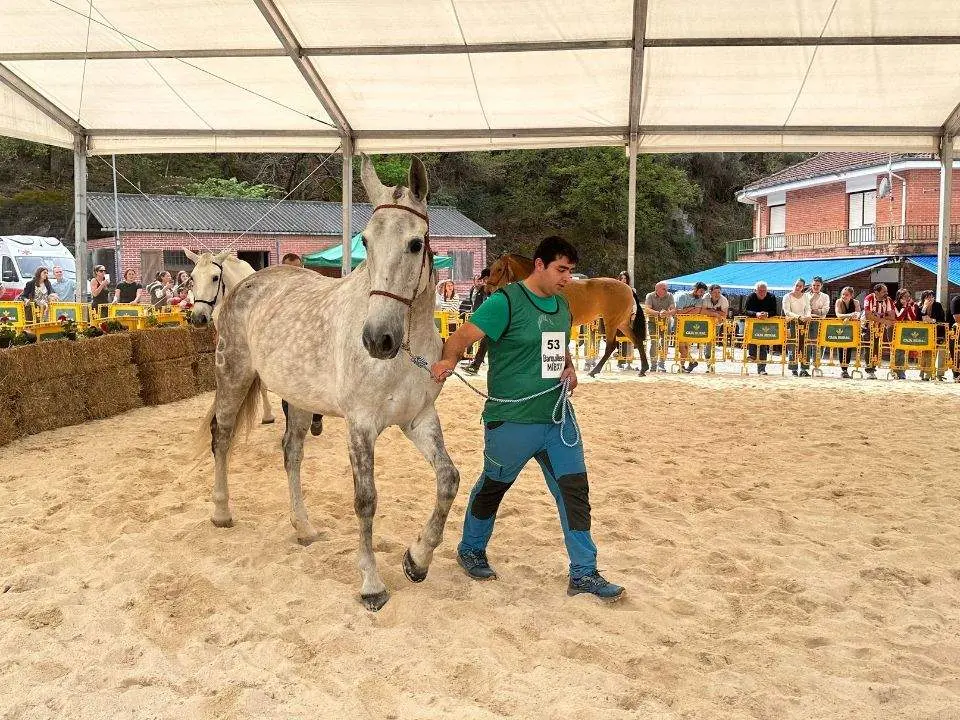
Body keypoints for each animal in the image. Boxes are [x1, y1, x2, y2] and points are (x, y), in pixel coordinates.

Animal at [197, 155, 459, 612]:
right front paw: (371, 583)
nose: (377, 339)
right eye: (366, 242)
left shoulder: (419, 419)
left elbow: (448, 479)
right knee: (222, 437)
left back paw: (303, 527)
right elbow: (366, 500)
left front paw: (418, 559)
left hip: (299, 399)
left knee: (291, 454)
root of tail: (246, 284)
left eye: (415, 244)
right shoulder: (361, 426)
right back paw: (222, 512)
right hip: (233, 375)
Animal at [486, 254, 649, 376]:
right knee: (637, 340)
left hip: (611, 322)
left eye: (499, 269)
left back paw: (594, 371)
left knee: (611, 345)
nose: (488, 290)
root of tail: (628, 288)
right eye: (491, 269)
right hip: (621, 323)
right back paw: (643, 369)